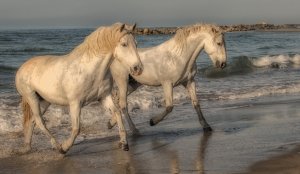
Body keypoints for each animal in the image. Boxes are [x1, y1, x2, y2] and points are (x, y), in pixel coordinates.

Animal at [15, 22, 143, 154]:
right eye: (124, 44)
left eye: (136, 44)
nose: (138, 68)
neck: (90, 71)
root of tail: (22, 68)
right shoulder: (75, 103)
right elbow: (76, 128)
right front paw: (65, 147)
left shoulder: (104, 97)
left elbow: (117, 113)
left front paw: (124, 143)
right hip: (32, 98)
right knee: (40, 122)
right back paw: (56, 146)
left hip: (45, 101)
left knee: (32, 121)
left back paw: (27, 147)